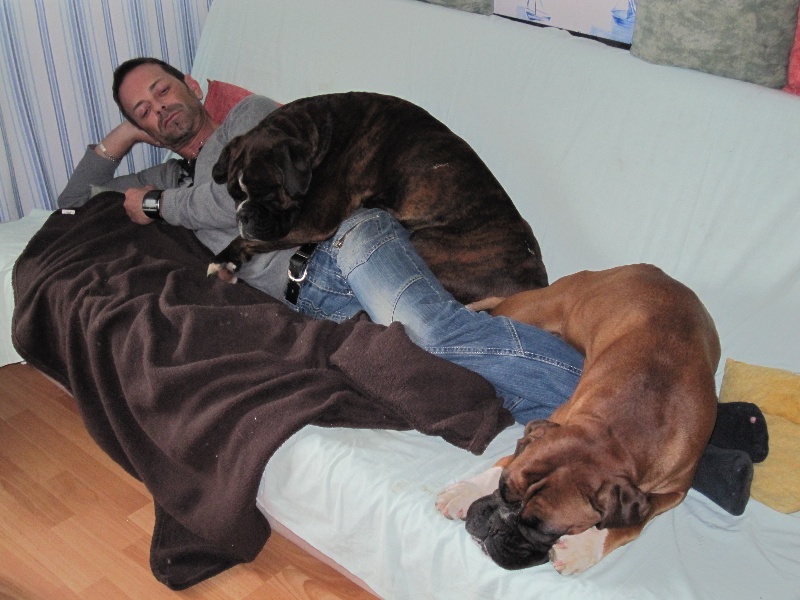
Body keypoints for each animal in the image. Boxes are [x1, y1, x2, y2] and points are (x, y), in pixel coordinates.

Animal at [209, 91, 547, 304]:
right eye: (234, 194)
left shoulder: (315, 221)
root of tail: (535, 287)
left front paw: (223, 259)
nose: (244, 215)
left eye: (268, 193)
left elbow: (251, 240)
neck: (318, 131)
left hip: (426, 241)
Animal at [436, 264, 720, 574]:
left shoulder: (675, 491)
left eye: (541, 530)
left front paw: (585, 546)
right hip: (526, 311)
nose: (494, 525)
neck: (621, 429)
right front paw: (467, 490)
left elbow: (633, 524)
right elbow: (504, 460)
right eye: (503, 488)